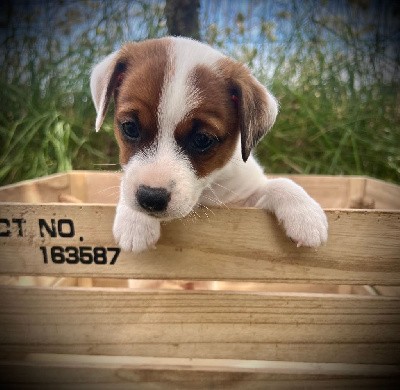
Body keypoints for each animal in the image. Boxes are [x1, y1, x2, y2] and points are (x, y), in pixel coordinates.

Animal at [90, 36, 328, 253]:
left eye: (202, 140)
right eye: (130, 127)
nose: (150, 197)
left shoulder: (243, 200)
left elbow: (280, 183)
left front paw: (305, 214)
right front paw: (136, 220)